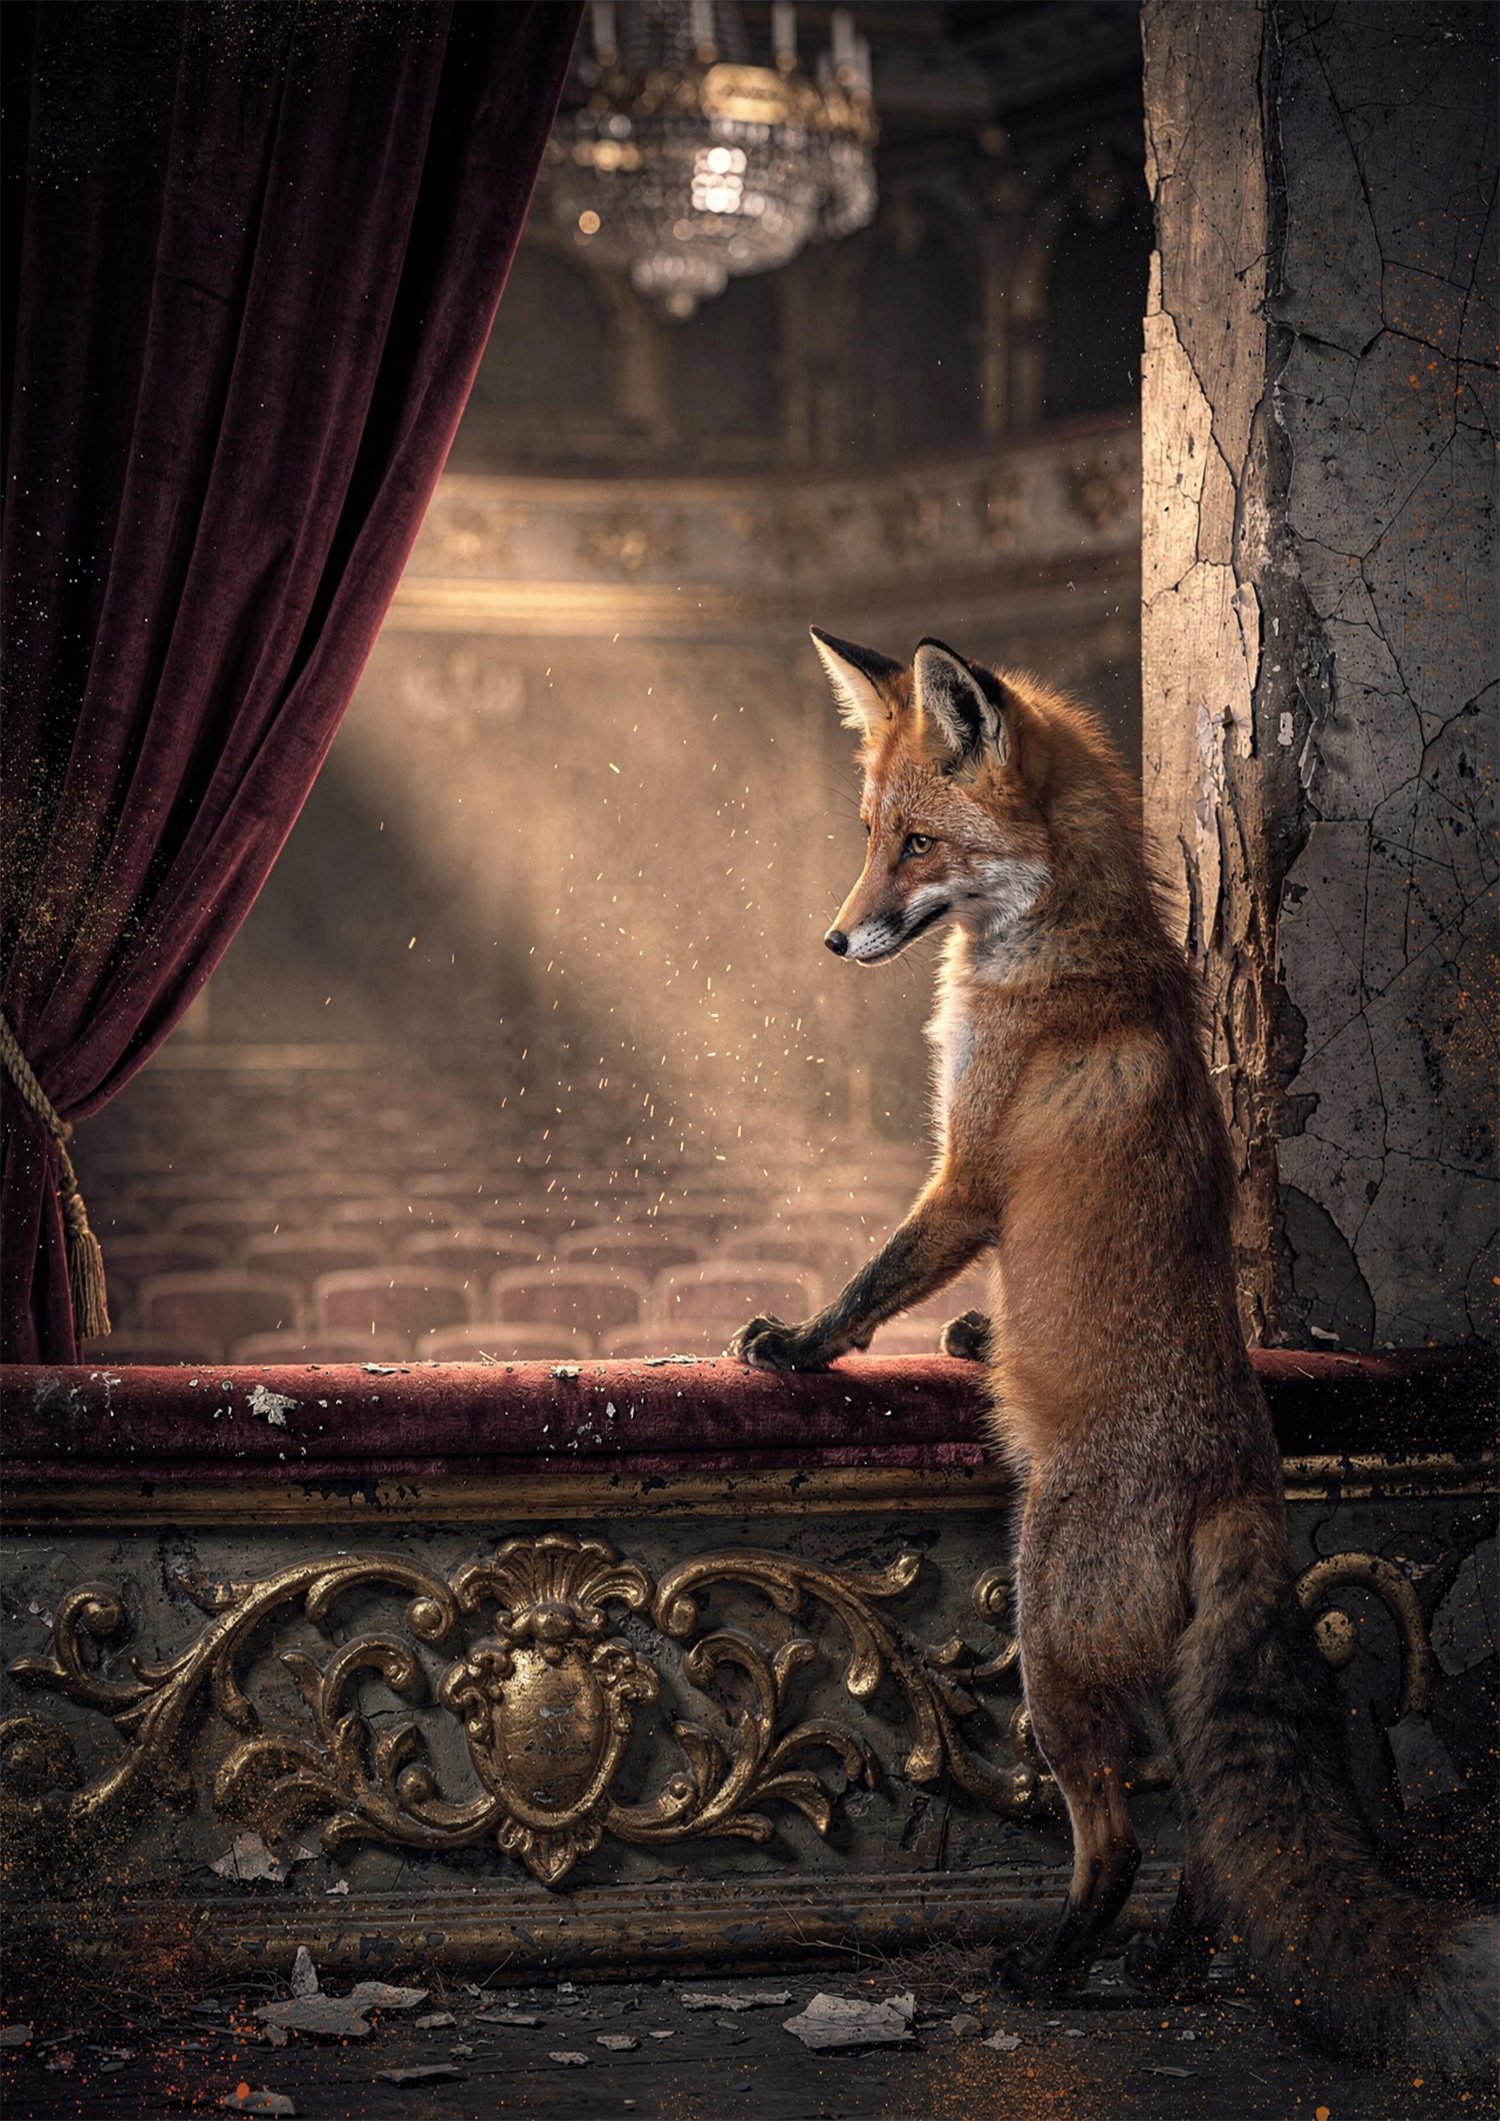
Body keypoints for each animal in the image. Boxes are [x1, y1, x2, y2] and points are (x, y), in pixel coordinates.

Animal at [730, 627, 1496, 2072]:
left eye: (917, 843)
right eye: (871, 837)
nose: (834, 938)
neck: (1066, 949)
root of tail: (1236, 1480)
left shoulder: (968, 1176)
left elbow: (876, 1276)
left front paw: (798, 1345)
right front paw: (977, 1334)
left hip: (1050, 1643)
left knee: (1123, 1838)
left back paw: (1057, 1963)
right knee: (1209, 1848)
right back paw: (1167, 1958)